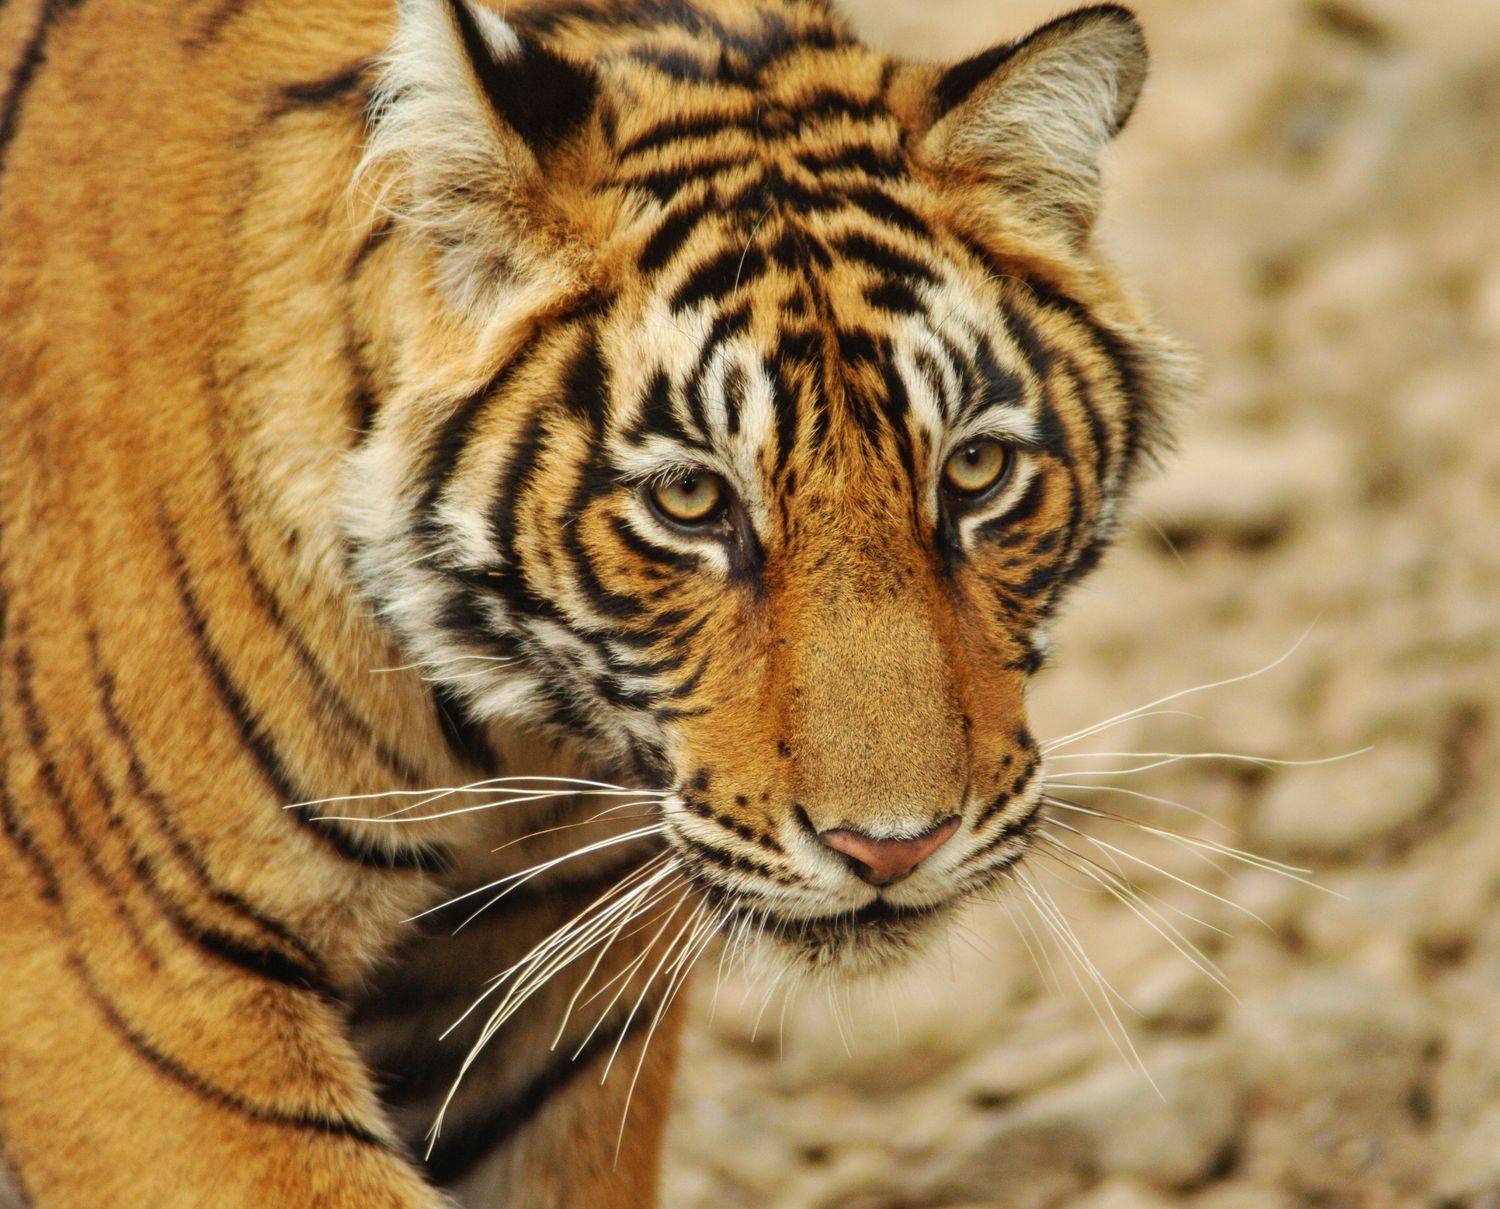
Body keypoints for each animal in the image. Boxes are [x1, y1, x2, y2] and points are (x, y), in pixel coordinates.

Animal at [0, 0, 1192, 1205]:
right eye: (690, 498)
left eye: (976, 471)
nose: (894, 851)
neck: (508, 739)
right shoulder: (143, 985)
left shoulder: (560, 990)